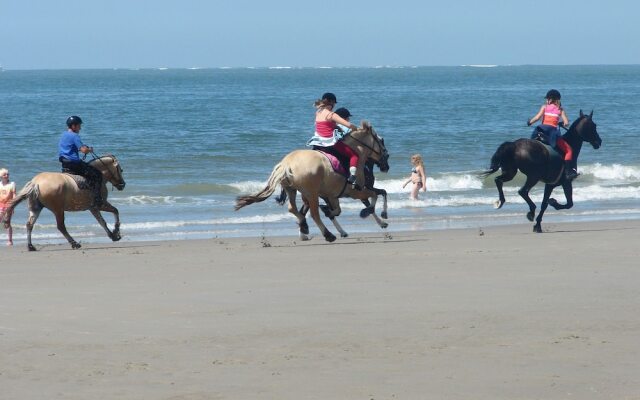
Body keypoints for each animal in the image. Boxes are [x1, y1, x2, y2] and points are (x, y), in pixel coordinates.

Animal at [236, 122, 390, 241]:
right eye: (381, 141)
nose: (386, 166)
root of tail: (286, 163)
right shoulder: (355, 191)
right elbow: (376, 196)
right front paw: (374, 215)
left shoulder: (333, 195)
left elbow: (338, 210)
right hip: (312, 193)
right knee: (313, 214)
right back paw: (327, 235)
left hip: (293, 190)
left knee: (294, 209)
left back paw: (305, 227)